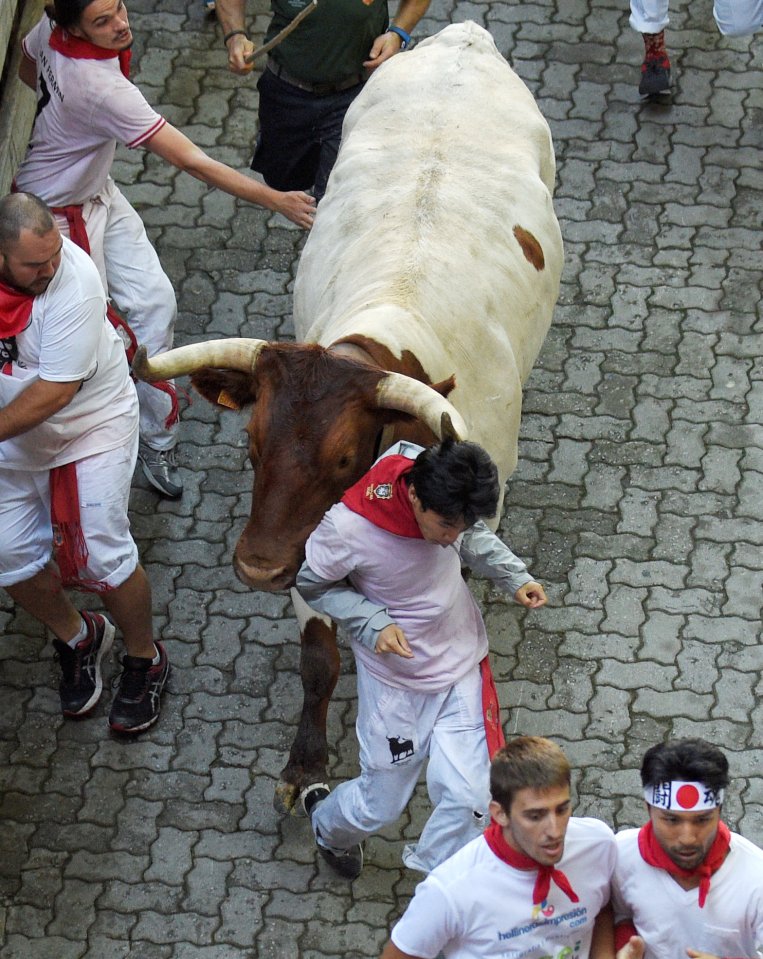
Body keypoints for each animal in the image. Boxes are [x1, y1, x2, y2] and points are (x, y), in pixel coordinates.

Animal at [133, 20, 560, 808]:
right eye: (252, 446)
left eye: (340, 458)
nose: (256, 567)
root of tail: (464, 37)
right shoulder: (306, 541)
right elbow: (318, 655)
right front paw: (303, 764)